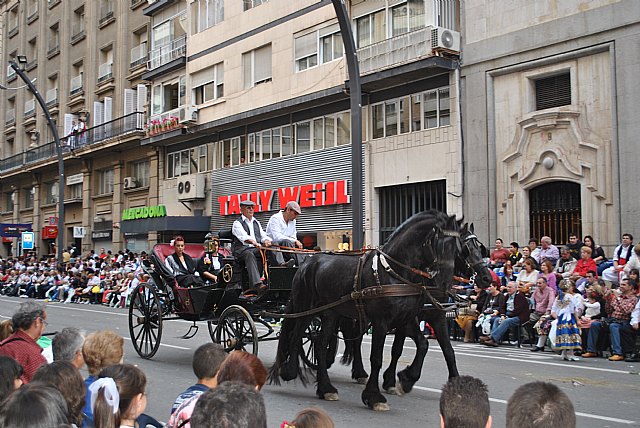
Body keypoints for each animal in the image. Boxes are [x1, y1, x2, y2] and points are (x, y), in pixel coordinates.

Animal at [268, 211, 460, 412]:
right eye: (439, 243)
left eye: (457, 248)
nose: (445, 285)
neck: (394, 273)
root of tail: (307, 263)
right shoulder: (381, 321)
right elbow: (377, 358)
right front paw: (375, 397)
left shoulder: (406, 318)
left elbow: (422, 346)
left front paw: (405, 379)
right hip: (306, 308)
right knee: (295, 336)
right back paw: (289, 371)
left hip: (330, 314)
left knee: (320, 344)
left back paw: (326, 388)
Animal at [340, 222, 496, 390]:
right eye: (466, 249)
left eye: (479, 247)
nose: (487, 278)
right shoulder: (408, 319)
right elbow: (414, 346)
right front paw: (404, 377)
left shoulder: (437, 317)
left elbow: (447, 350)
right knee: (356, 340)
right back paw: (360, 372)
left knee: (356, 339)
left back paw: (359, 372)